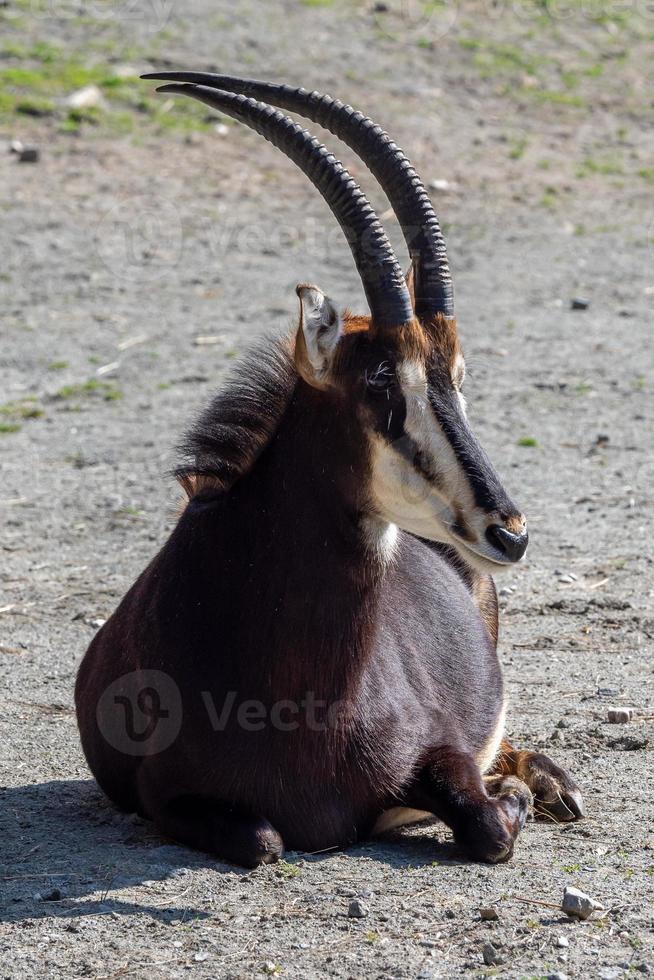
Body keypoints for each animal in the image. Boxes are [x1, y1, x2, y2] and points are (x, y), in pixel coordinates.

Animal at [75, 78, 584, 872]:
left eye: (457, 379)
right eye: (382, 388)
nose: (510, 533)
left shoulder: (443, 747)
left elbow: (484, 823)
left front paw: (516, 795)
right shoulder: (164, 794)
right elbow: (262, 839)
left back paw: (552, 784)